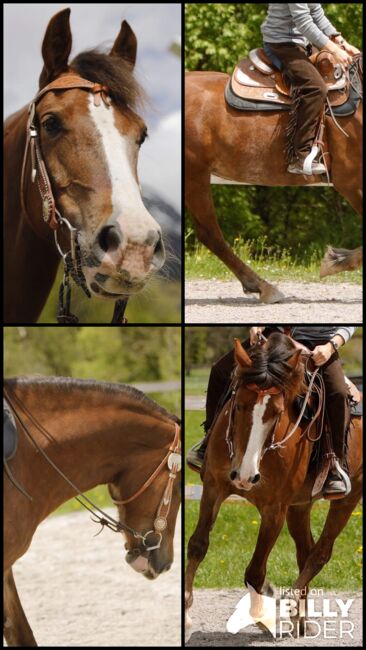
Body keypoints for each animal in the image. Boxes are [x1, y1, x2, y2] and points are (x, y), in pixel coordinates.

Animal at [186, 57, 364, 302]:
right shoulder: (352, 183)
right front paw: (335, 260)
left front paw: (337, 257)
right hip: (195, 175)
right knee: (210, 234)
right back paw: (263, 286)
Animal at [186, 334, 364, 632]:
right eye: (238, 404)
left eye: (278, 412)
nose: (245, 476)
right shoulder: (213, 487)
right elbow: (197, 545)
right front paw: (186, 612)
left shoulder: (274, 509)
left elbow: (255, 570)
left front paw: (260, 615)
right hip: (300, 505)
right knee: (305, 551)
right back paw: (300, 618)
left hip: (349, 497)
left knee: (321, 552)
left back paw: (291, 600)